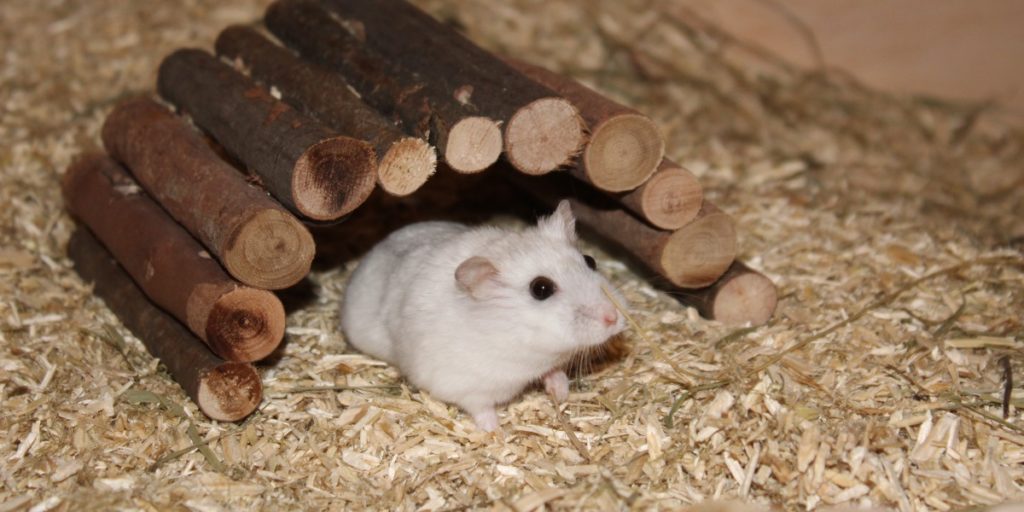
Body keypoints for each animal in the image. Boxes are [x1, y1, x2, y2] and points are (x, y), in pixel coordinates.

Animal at [339, 199, 626, 432]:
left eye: (590, 260)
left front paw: (561, 394)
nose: (614, 318)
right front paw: (498, 433)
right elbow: (481, 409)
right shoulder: (464, 385)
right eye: (541, 289)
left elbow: (554, 372)